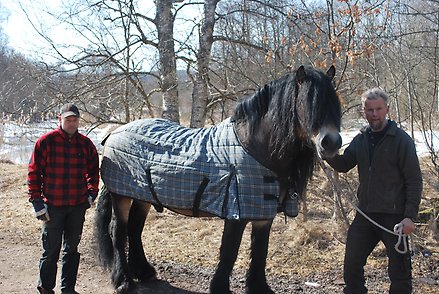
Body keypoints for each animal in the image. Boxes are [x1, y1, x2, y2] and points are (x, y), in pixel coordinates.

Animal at [95, 65, 344, 292]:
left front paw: (259, 287)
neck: (253, 148)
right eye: (309, 103)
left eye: (334, 104)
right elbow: (229, 252)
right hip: (121, 196)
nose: (331, 142)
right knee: (118, 232)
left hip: (141, 196)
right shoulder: (236, 213)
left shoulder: (263, 214)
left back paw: (144, 272)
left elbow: (260, 251)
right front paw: (220, 287)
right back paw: (123, 281)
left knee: (135, 229)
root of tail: (113, 133)